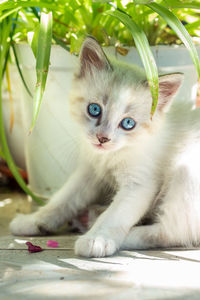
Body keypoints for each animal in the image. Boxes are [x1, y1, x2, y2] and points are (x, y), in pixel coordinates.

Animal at [9, 37, 200, 258]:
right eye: (94, 109)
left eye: (128, 123)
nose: (103, 138)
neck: (109, 156)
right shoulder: (89, 172)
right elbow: (63, 200)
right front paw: (34, 221)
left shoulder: (139, 184)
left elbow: (114, 215)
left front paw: (97, 239)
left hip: (185, 172)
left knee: (171, 233)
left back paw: (104, 230)